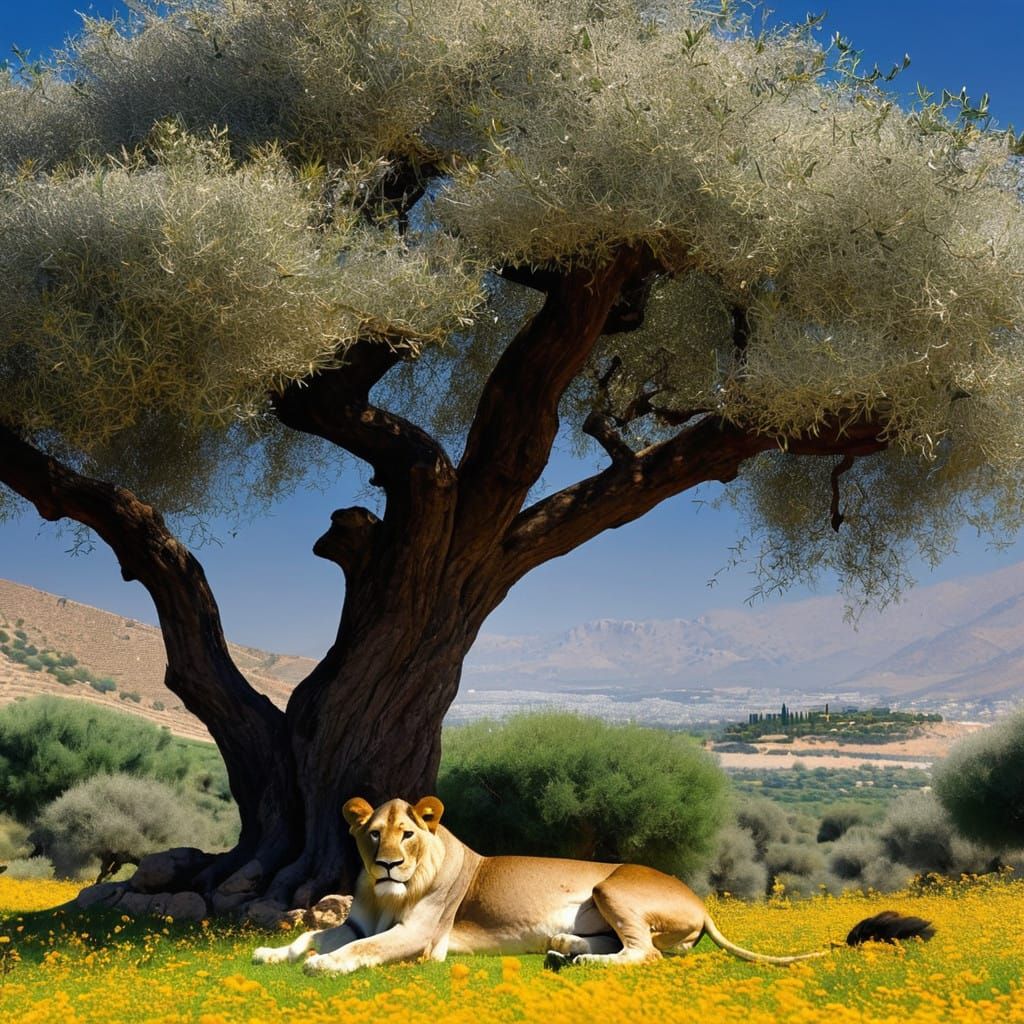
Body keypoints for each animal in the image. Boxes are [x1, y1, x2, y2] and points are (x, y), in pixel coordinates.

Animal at [252, 795, 932, 975]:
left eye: (409, 835)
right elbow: (316, 935)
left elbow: (363, 948)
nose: (389, 863)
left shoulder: (423, 935)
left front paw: (328, 966)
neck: (386, 894)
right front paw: (270, 950)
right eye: (372, 835)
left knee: (645, 954)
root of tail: (699, 899)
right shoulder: (352, 918)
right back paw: (562, 949)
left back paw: (579, 963)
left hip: (613, 888)